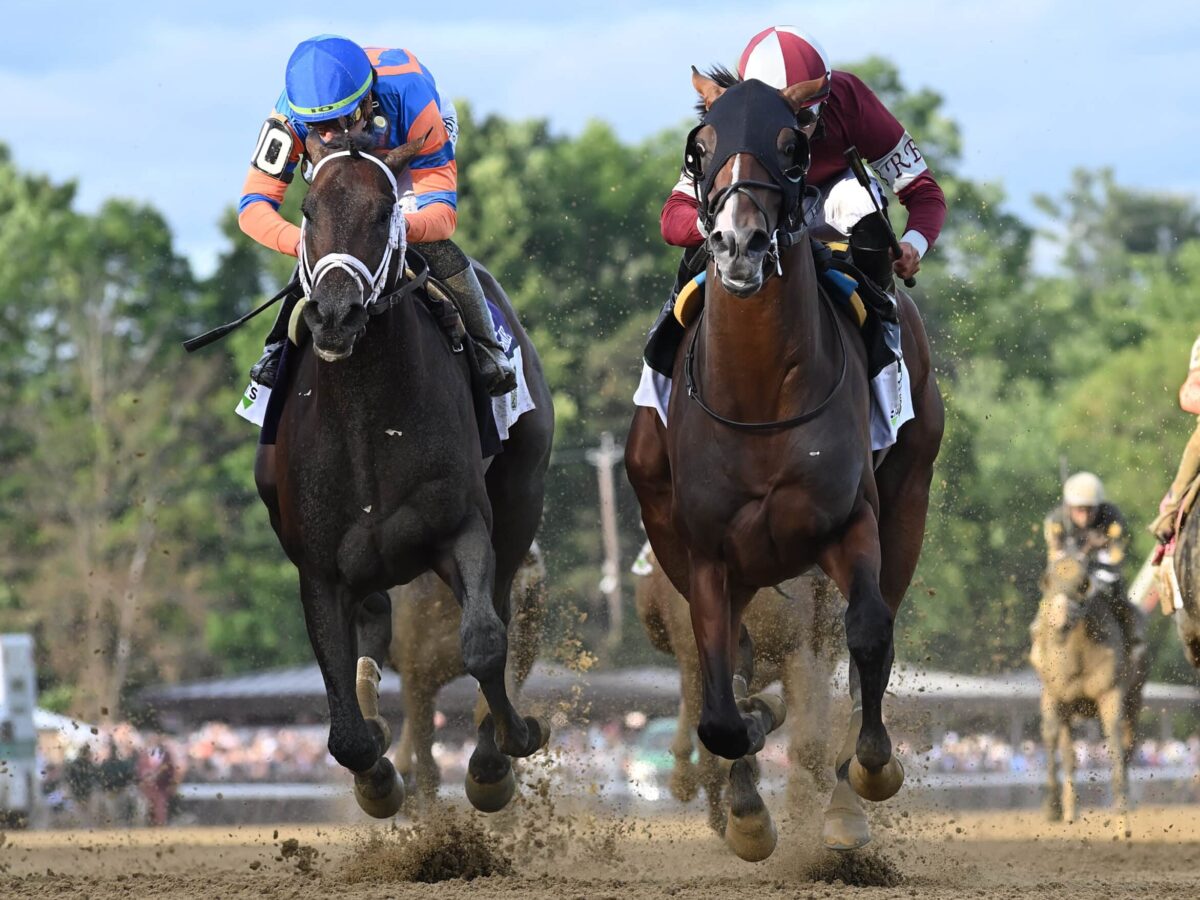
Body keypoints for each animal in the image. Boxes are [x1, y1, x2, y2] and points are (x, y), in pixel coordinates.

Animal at [1027, 554, 1147, 844]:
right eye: (1048, 581)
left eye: (1082, 584)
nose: (1059, 622)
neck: (1077, 655)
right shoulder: (1054, 694)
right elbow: (1051, 740)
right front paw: (1053, 808)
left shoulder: (1111, 694)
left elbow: (1114, 744)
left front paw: (1121, 822)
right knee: (1068, 754)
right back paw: (1070, 811)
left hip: (1135, 699)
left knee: (1127, 748)